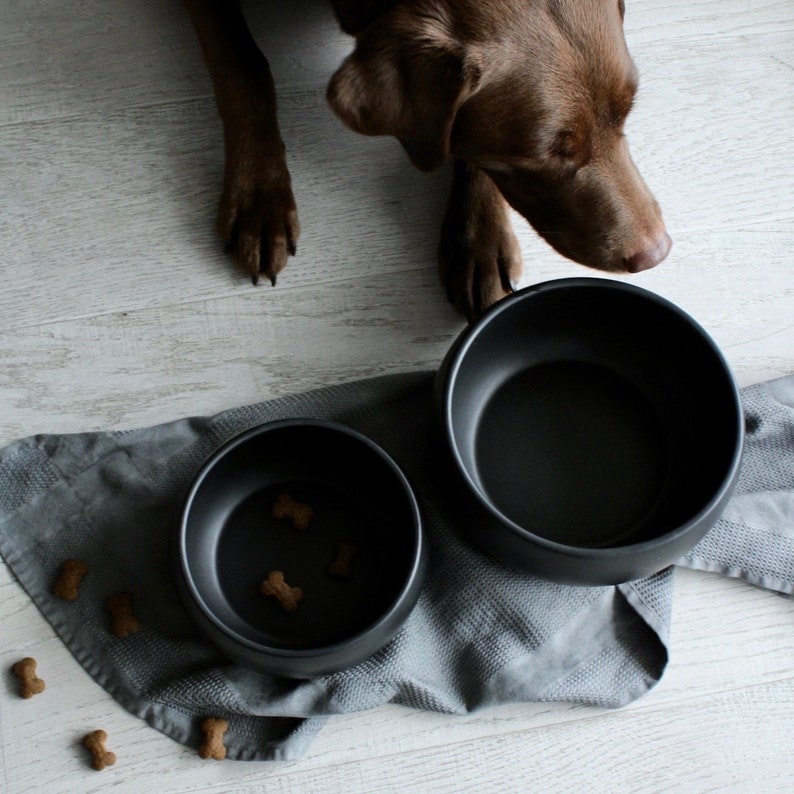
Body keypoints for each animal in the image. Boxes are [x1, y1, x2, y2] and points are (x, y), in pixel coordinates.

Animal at [181, 0, 668, 316]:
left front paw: (480, 241)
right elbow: (241, 64)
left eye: (627, 112)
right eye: (542, 153)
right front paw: (259, 200)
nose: (656, 253)